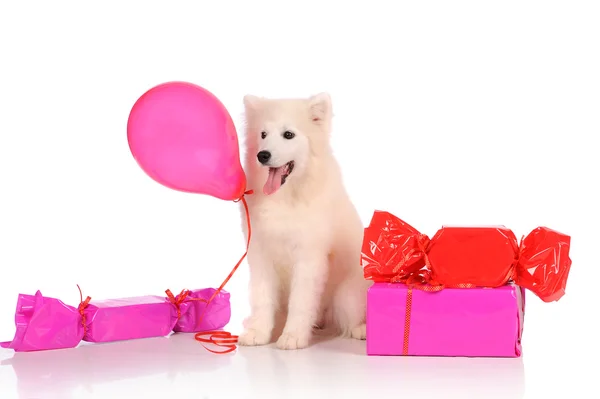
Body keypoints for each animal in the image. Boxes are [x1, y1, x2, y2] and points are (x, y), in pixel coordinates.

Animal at [237, 93, 368, 350]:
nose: (262, 155)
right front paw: (258, 332)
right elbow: (261, 296)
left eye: (288, 134)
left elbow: (300, 302)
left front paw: (292, 337)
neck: (286, 198)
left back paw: (361, 330)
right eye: (263, 134)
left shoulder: (309, 256)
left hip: (346, 296)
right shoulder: (259, 252)